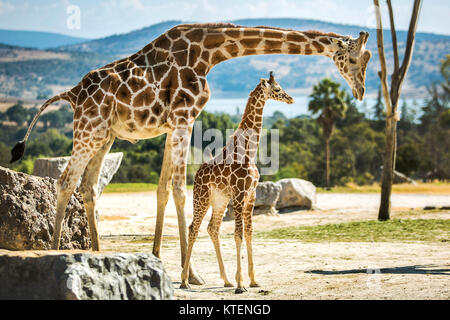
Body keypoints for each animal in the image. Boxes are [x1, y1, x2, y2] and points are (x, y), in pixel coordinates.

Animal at [181, 72, 294, 292]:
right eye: (277, 89)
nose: (291, 99)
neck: (249, 152)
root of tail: (197, 174)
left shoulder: (251, 196)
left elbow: (249, 233)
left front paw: (253, 280)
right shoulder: (240, 195)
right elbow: (238, 234)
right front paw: (241, 284)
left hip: (220, 200)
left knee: (212, 228)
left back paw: (226, 280)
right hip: (202, 197)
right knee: (193, 228)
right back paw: (184, 281)